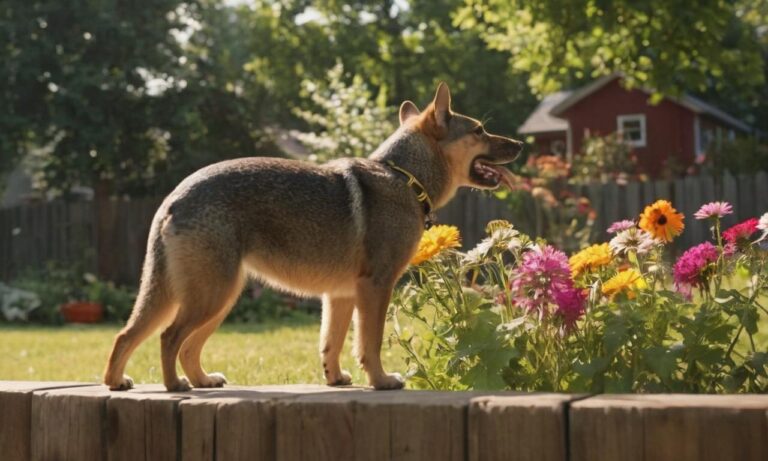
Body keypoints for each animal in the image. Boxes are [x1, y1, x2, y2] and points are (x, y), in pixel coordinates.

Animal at [103, 82, 520, 388]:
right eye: (480, 130)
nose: (520, 144)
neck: (402, 176)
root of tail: (174, 197)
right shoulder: (376, 287)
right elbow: (369, 344)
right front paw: (382, 381)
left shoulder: (340, 296)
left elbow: (331, 345)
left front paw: (335, 380)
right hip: (210, 297)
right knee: (168, 338)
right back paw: (176, 386)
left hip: (215, 299)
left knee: (138, 338)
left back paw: (154, 382)